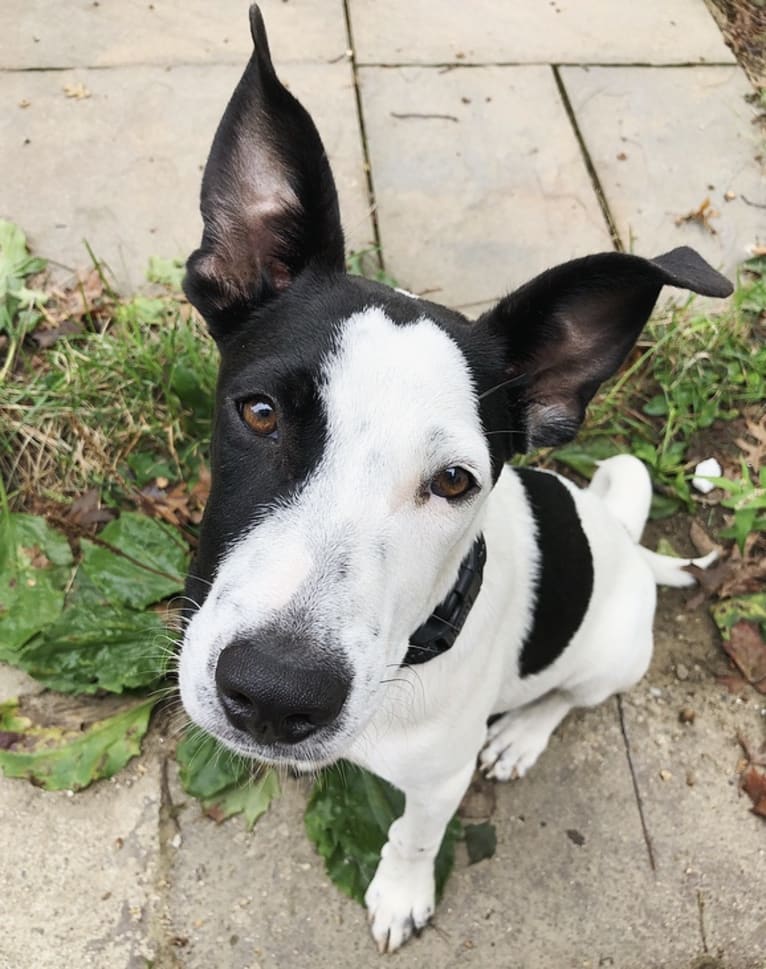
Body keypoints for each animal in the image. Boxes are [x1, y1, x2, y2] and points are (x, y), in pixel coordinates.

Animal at [177, 7, 736, 952]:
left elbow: (412, 833)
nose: (276, 697)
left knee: (571, 696)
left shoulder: (436, 783)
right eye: (258, 412)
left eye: (451, 480)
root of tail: (622, 541)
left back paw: (522, 733)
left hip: (614, 653)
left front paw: (400, 890)